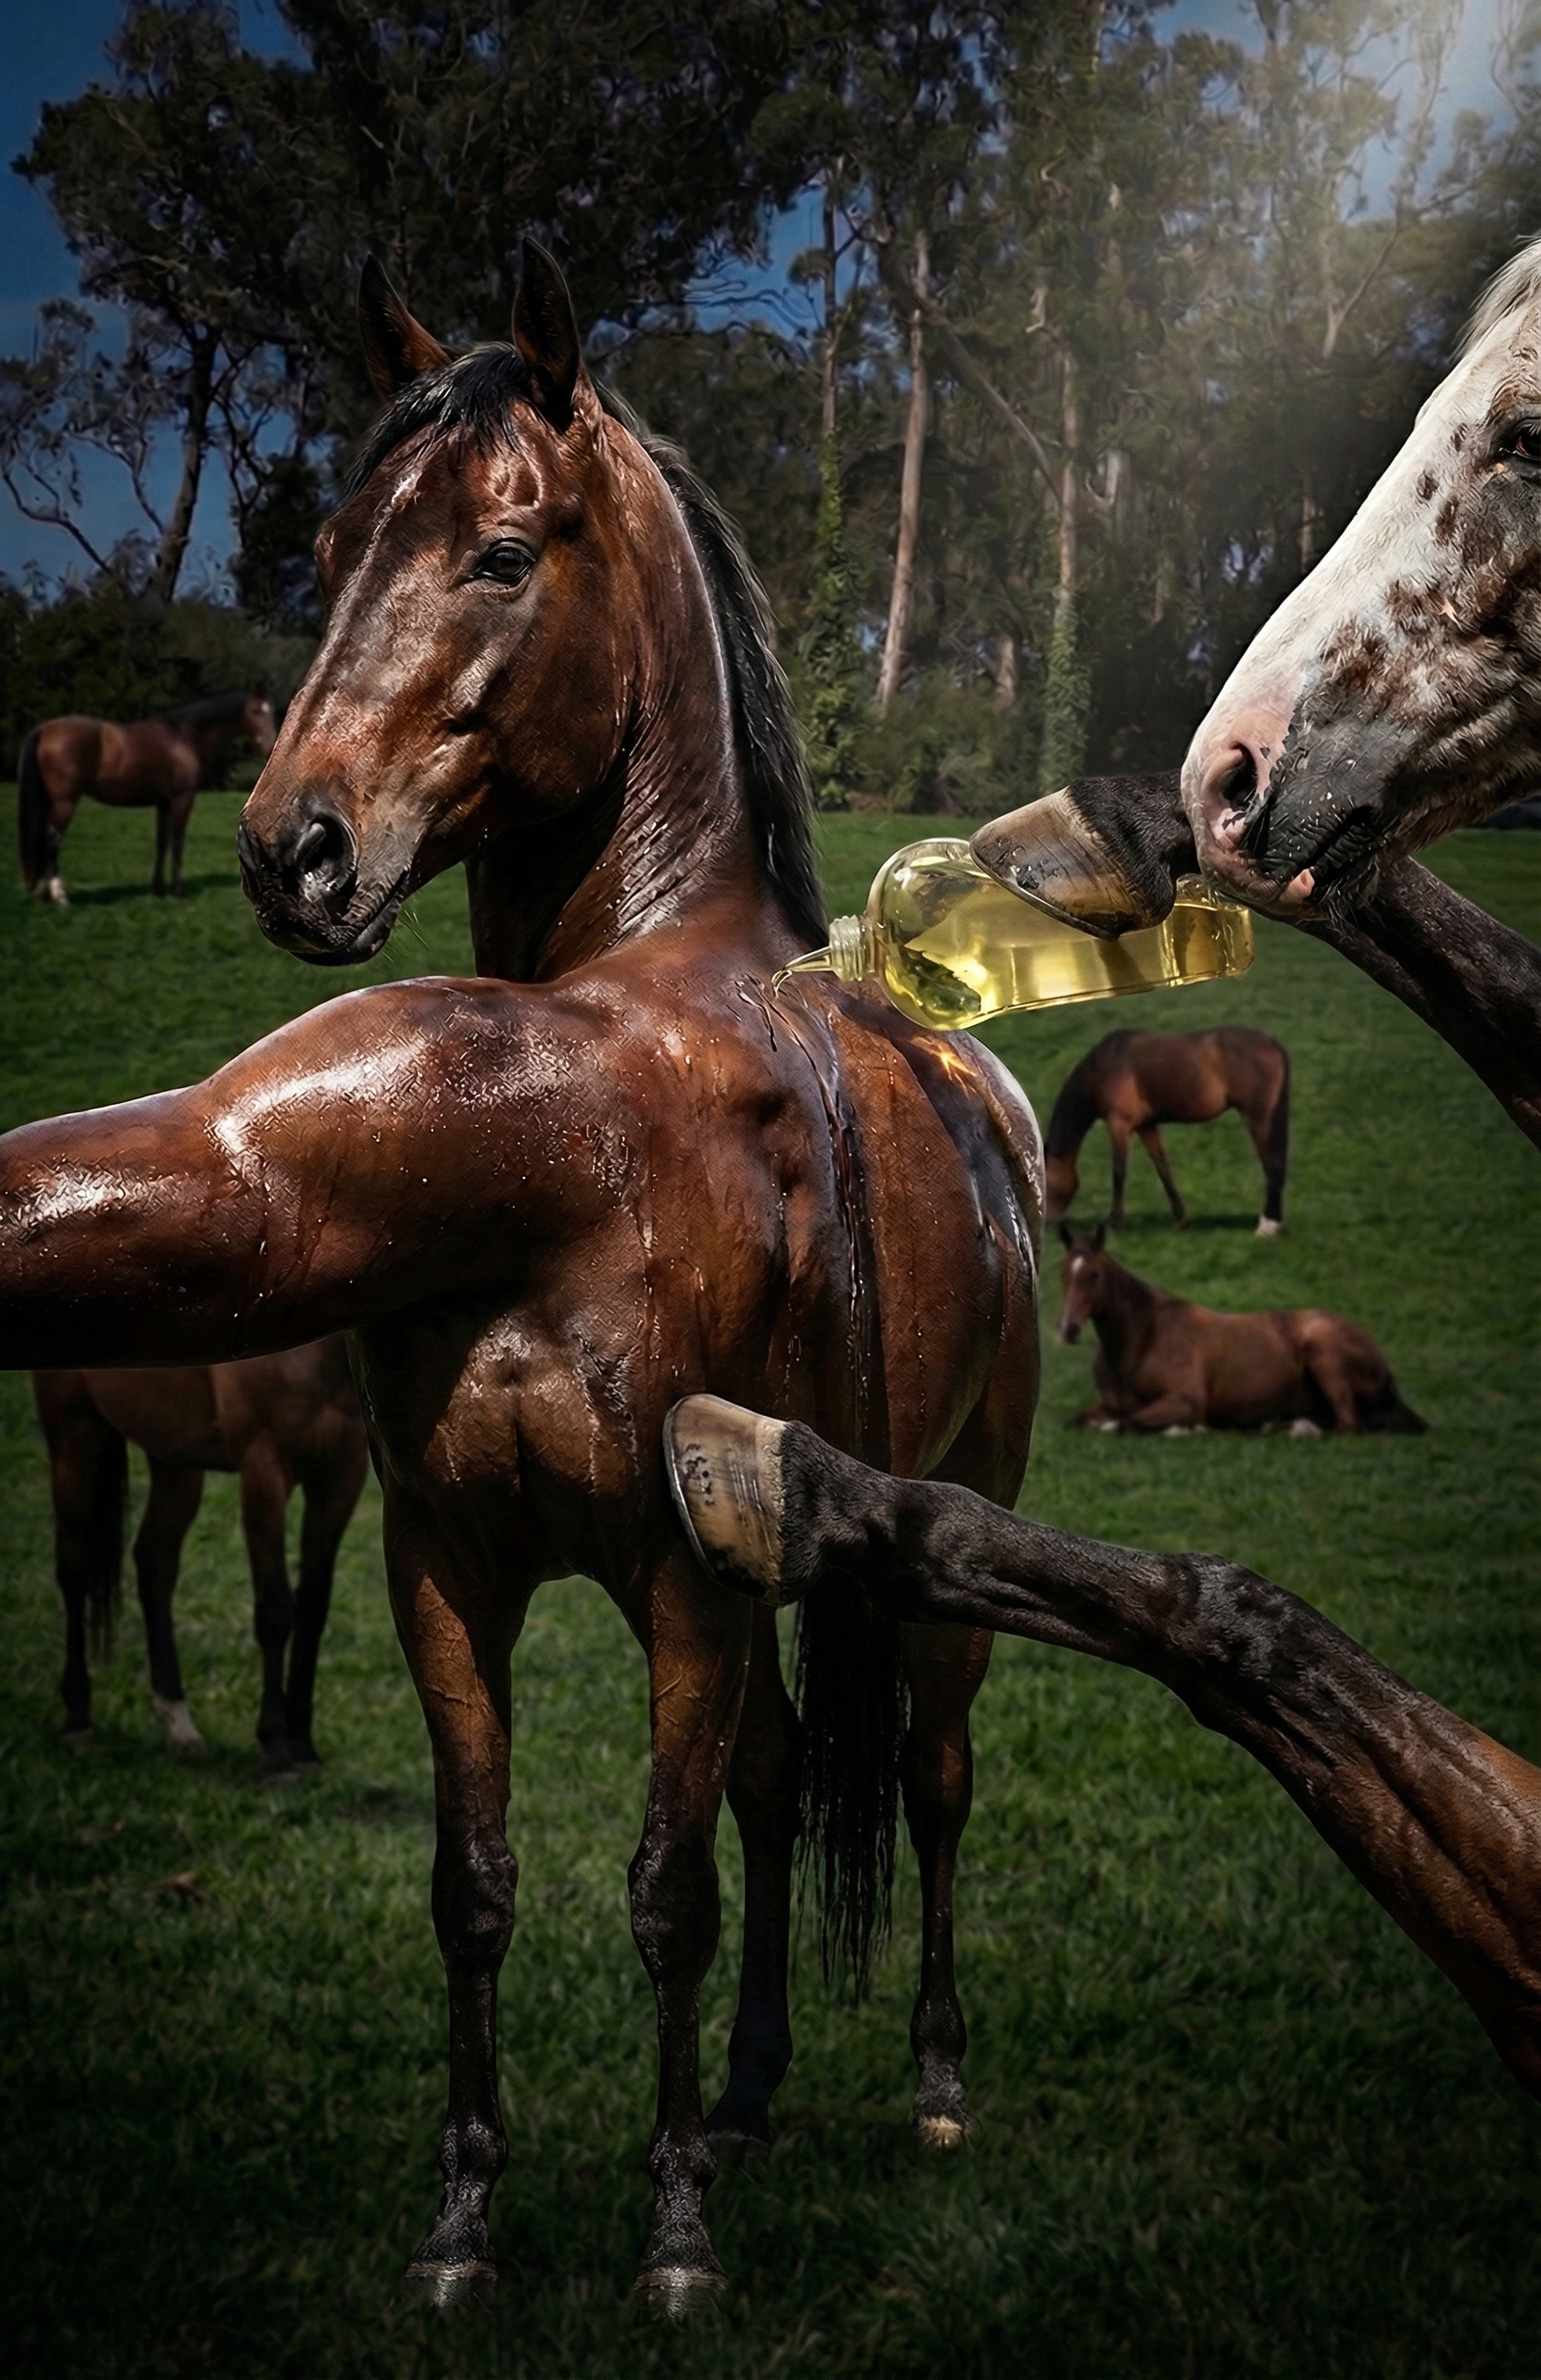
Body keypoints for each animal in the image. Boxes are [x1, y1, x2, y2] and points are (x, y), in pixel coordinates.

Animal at [17, 689, 277, 904]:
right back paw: (59, 897)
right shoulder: (182, 799)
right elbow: (177, 842)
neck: (183, 736)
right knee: (52, 842)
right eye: (255, 711)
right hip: (65, 802)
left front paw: (158, 889)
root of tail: (44, 730)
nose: (270, 748)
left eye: (270, 712)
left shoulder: (163, 803)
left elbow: (162, 843)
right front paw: (177, 891)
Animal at [33, 1337, 368, 1776]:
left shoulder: (341, 1475)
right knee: (74, 1572)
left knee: (153, 1563)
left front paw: (303, 1746)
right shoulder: (263, 1470)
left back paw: (178, 1722)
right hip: (74, 1436)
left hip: (174, 1458)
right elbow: (276, 1611)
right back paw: (77, 1719)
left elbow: (313, 1609)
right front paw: (276, 1751)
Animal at [1043, 1026, 1289, 1236]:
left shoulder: (1119, 1125)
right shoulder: (1146, 1126)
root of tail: (1271, 1042)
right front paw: (1181, 1220)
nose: (1047, 1223)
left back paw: (1268, 1225)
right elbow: (1163, 1169)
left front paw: (1115, 1221)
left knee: (1272, 1163)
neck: (1102, 1067)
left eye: (1046, 1183)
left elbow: (1119, 1172)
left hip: (1257, 1118)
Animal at [1055, 1224, 1424, 1436]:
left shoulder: (1185, 1401)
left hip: (1324, 1354)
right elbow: (1082, 1418)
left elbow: (1127, 1422)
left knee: (1347, 1425)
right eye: (1063, 1272)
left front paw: (1190, 1430)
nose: (1068, 1328)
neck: (1143, 1336)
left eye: (1094, 1275)